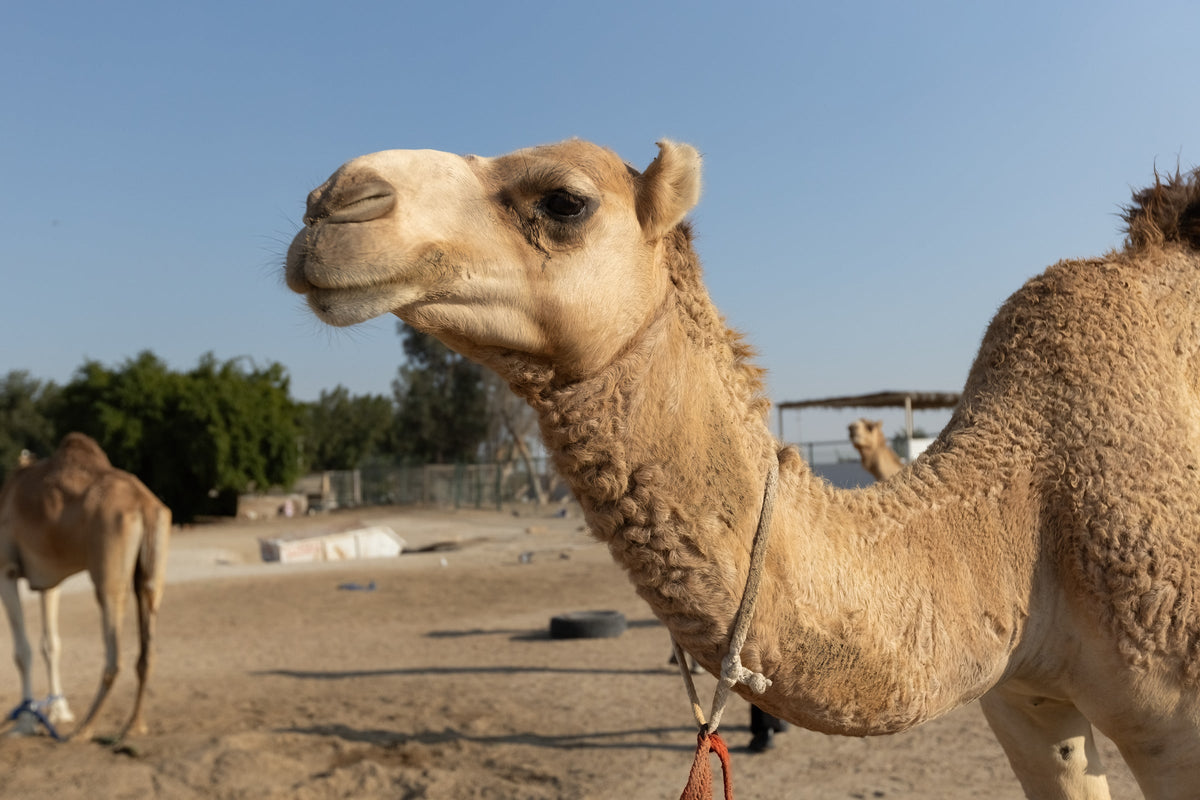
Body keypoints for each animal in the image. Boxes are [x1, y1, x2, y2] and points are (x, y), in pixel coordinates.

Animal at [1, 432, 171, 742]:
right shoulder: (48, 579)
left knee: (114, 655)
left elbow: (22, 651)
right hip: (152, 573)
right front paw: (58, 711)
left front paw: (26, 722)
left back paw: (85, 729)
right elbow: (50, 645)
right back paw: (133, 726)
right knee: (147, 647)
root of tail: (144, 503)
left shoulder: (6, 568)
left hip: (108, 570)